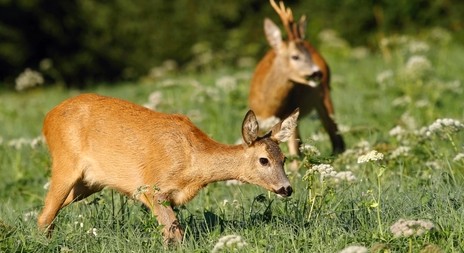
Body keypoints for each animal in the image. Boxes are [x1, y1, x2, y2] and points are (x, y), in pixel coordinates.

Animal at [36, 93, 298, 243]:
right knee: (46, 214)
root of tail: (47, 118)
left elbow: (172, 232)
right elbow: (174, 234)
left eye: (284, 158)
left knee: (46, 214)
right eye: (263, 160)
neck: (193, 162)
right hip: (65, 162)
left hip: (87, 184)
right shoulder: (151, 188)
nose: (286, 188)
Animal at [250, 0, 344, 166]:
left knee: (335, 134)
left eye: (308, 55)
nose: (317, 72)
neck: (268, 106)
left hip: (324, 94)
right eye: (295, 56)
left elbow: (293, 150)